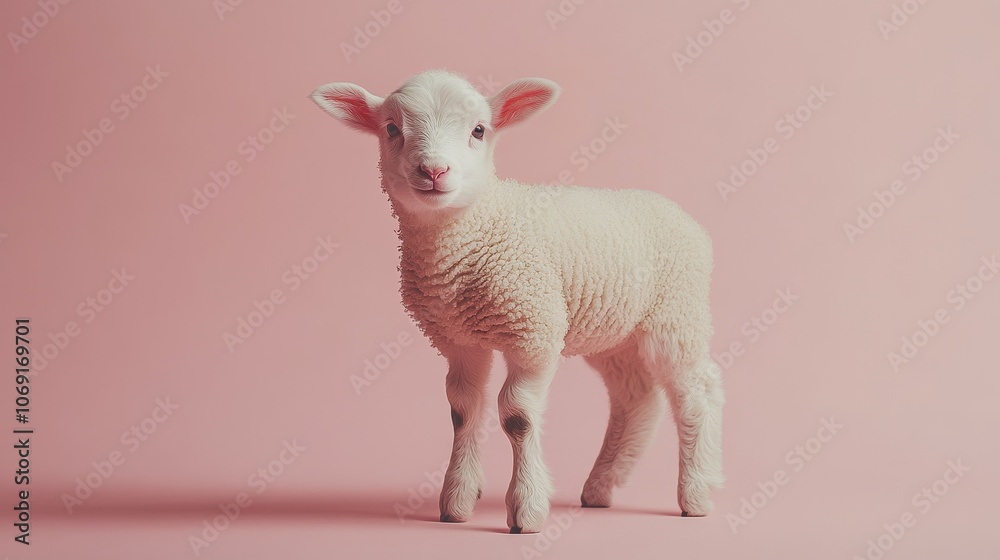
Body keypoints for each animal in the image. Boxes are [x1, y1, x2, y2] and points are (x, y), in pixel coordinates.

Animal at [311, 69, 725, 533]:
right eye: (391, 129)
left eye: (478, 130)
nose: (434, 170)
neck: (474, 233)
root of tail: (680, 214)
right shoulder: (458, 341)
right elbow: (463, 411)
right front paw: (456, 502)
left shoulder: (533, 331)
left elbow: (517, 416)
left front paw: (526, 510)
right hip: (614, 332)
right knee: (636, 396)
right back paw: (600, 488)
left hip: (676, 315)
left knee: (697, 392)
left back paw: (696, 493)